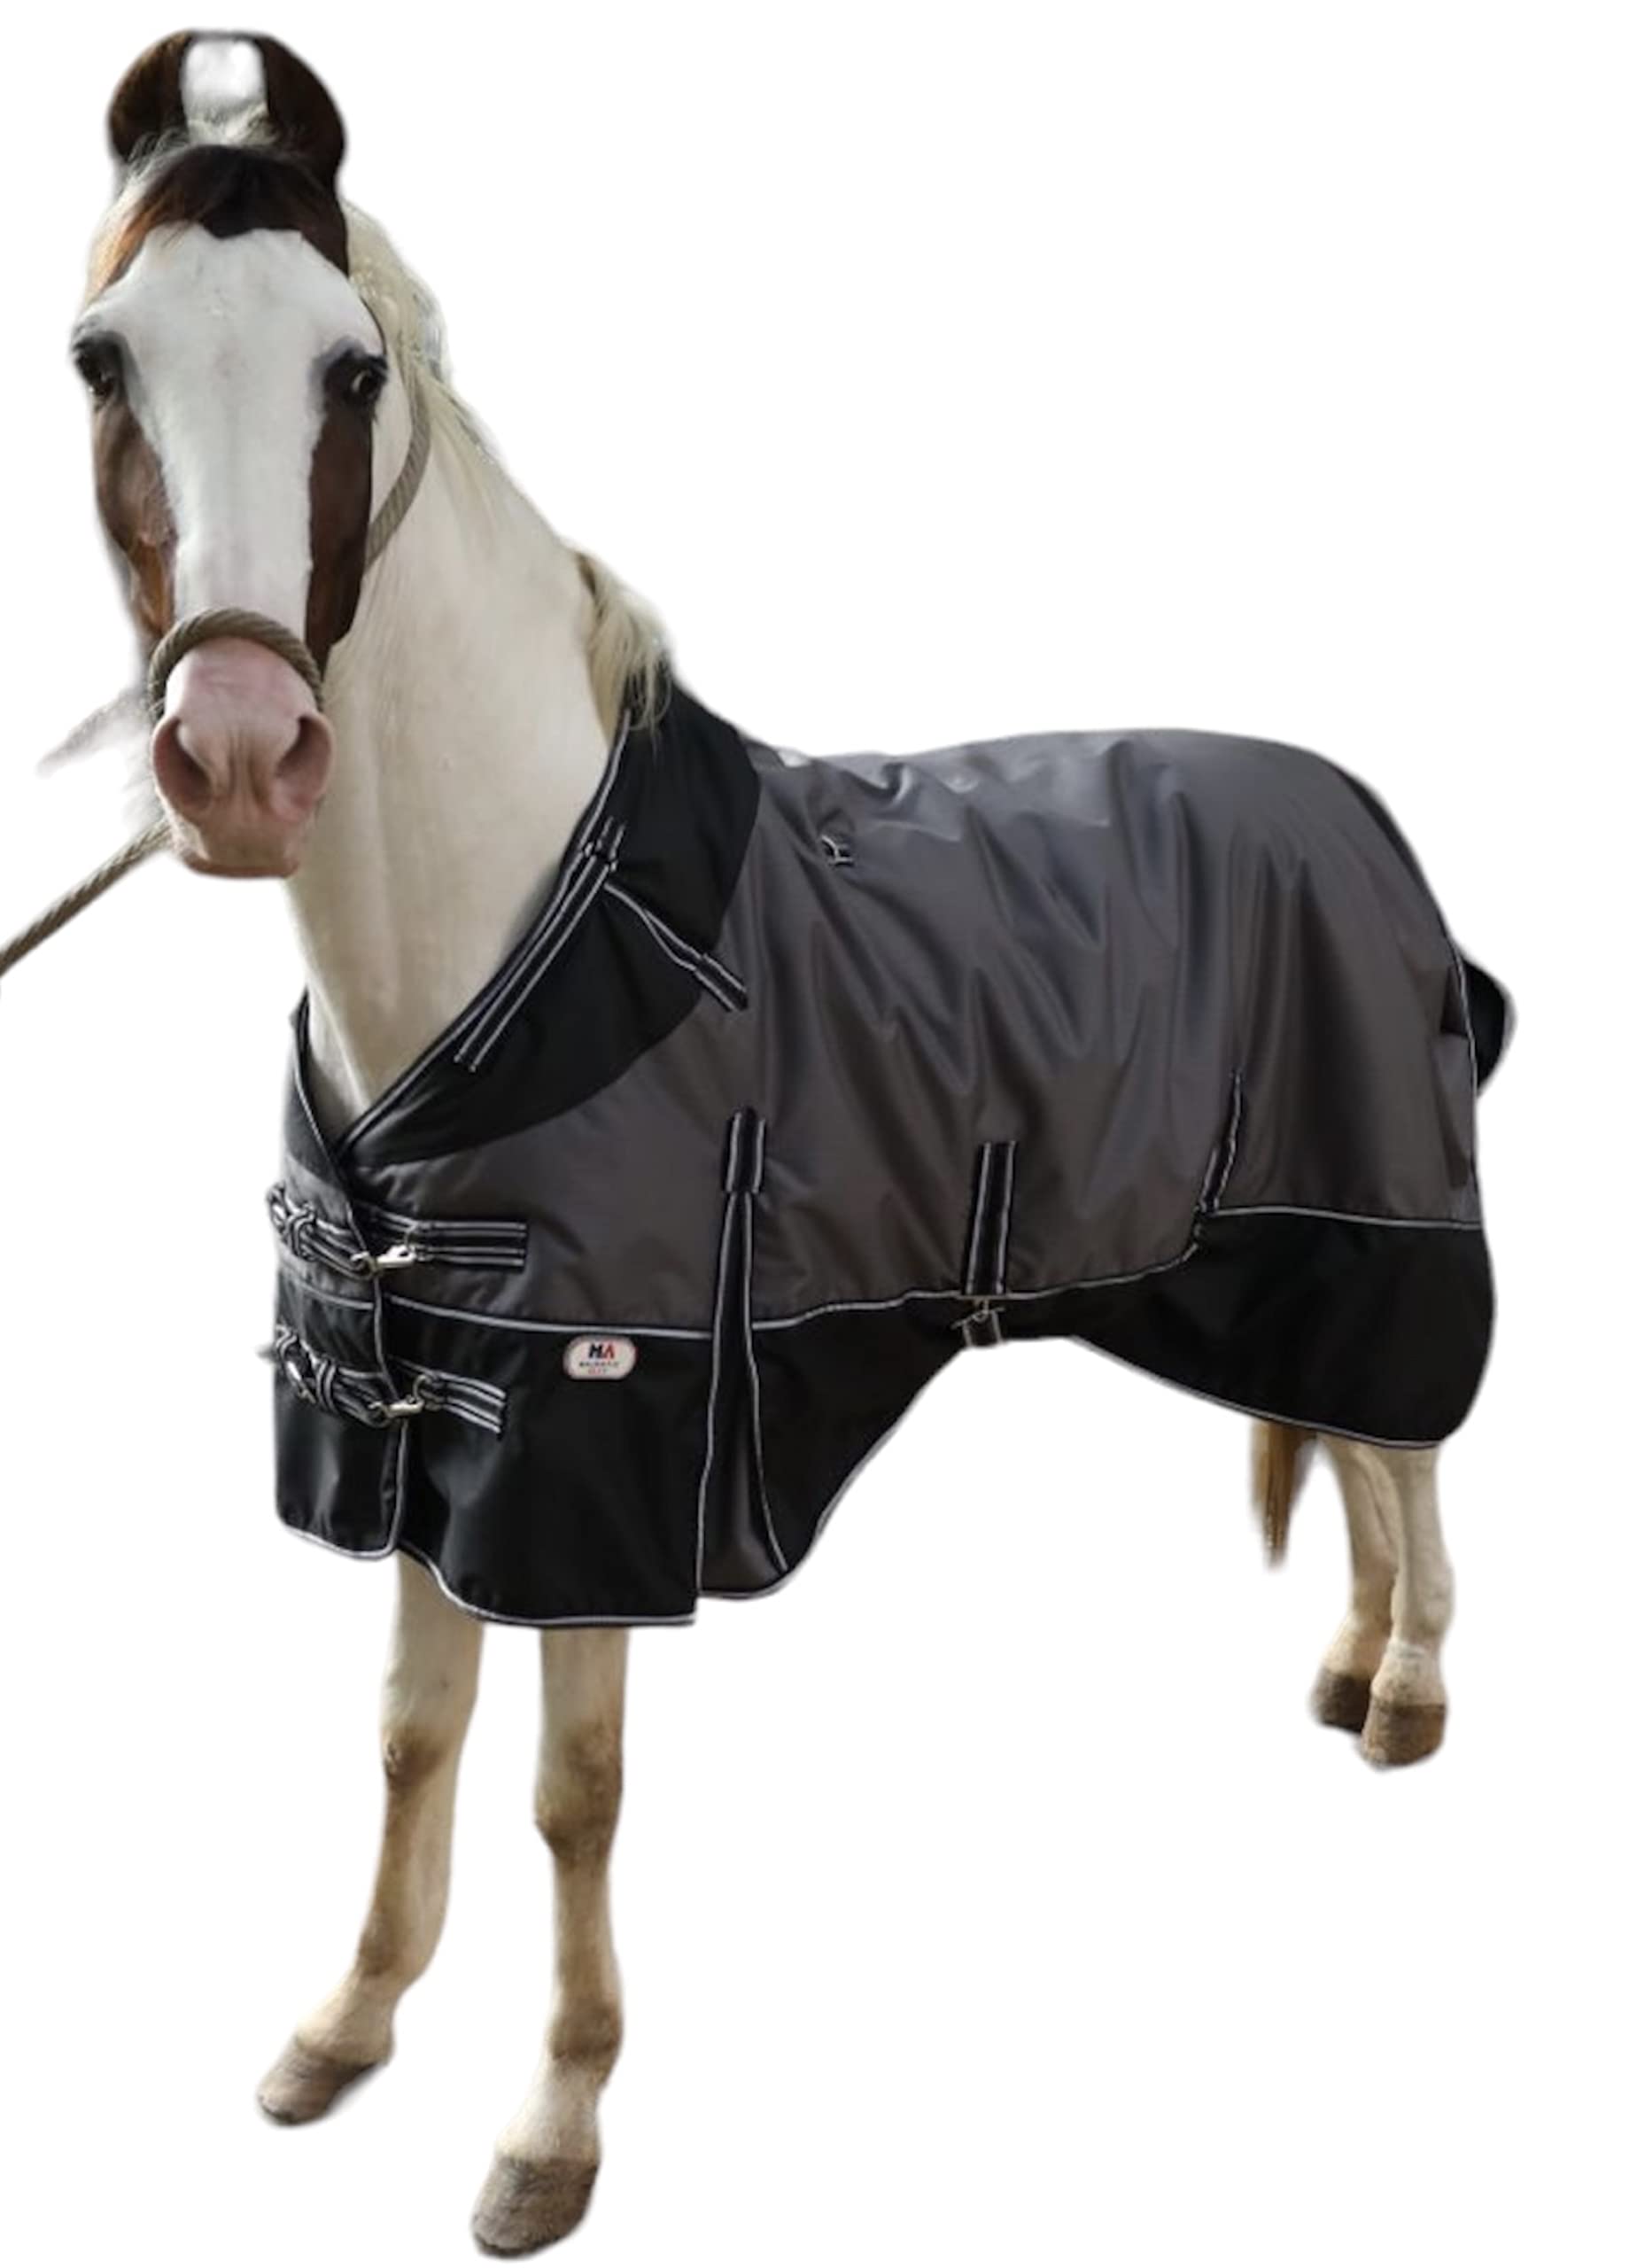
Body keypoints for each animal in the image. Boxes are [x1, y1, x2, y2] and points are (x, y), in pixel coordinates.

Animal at [62, 30, 1503, 2256]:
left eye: (350, 367)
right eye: (99, 359)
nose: (234, 755)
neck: (520, 925)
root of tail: (1357, 807)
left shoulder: (598, 1429)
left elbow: (569, 1791)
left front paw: (549, 2131)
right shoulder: (432, 1410)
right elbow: (409, 1735)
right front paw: (344, 2025)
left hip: (1368, 1225)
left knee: (1408, 1450)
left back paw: (1413, 1691)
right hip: (1268, 1261)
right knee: (1353, 1451)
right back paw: (1353, 1671)